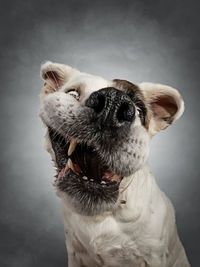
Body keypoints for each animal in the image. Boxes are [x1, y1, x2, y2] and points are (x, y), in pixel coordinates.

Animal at [39, 61, 191, 266]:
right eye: (72, 93)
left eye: (140, 111)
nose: (112, 102)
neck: (104, 213)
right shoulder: (76, 255)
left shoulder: (153, 257)